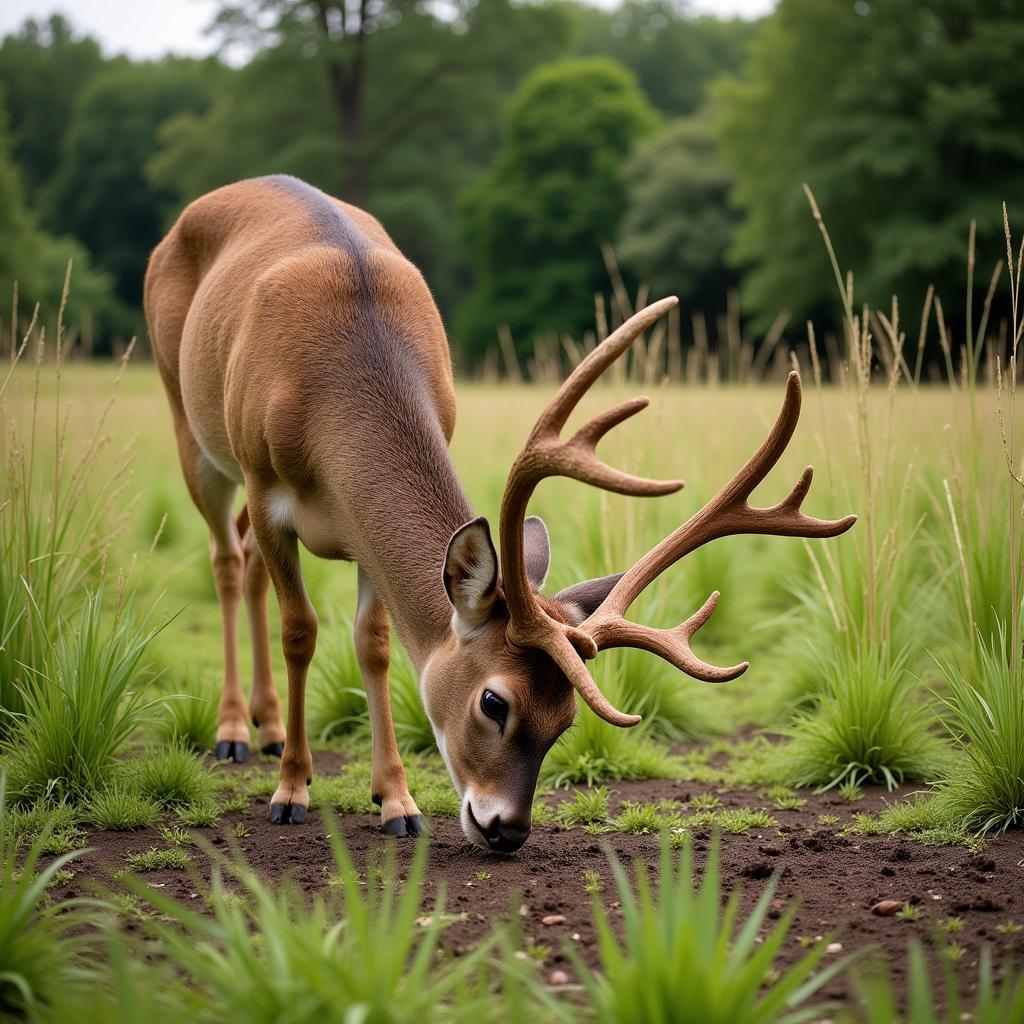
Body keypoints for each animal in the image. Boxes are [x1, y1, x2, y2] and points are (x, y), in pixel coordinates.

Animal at [144, 178, 856, 856]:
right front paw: (291, 789)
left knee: (245, 560)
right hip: (193, 430)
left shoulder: (362, 531)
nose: (506, 830)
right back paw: (235, 731)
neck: (330, 406)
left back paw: (264, 725)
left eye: (565, 719)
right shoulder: (267, 487)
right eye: (494, 700)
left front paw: (397, 802)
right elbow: (301, 631)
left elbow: (374, 645)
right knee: (226, 559)